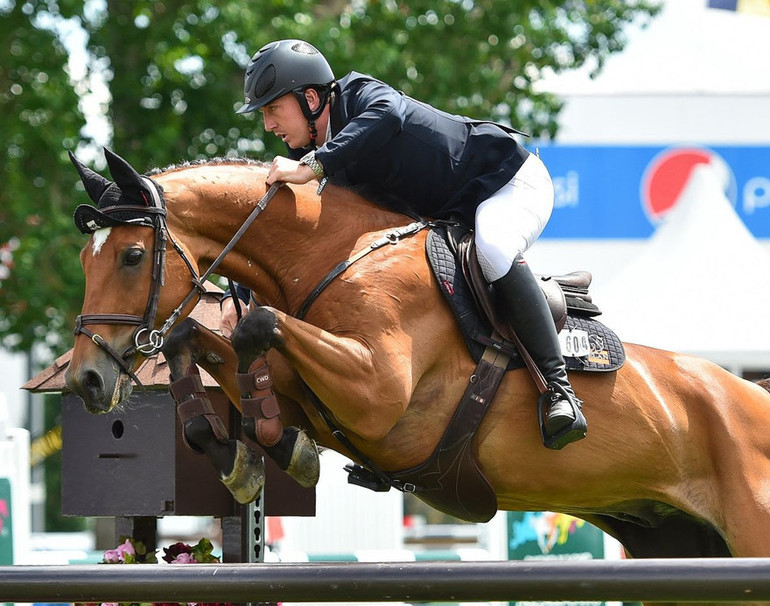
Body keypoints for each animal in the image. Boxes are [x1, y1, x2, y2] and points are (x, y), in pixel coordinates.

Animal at [63, 148, 768, 576]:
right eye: (84, 262)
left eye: (131, 256)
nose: (88, 380)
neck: (334, 253)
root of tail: (750, 395)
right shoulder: (319, 392)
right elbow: (205, 342)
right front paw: (252, 454)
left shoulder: (377, 393)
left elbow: (257, 327)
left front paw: (278, 448)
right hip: (677, 543)